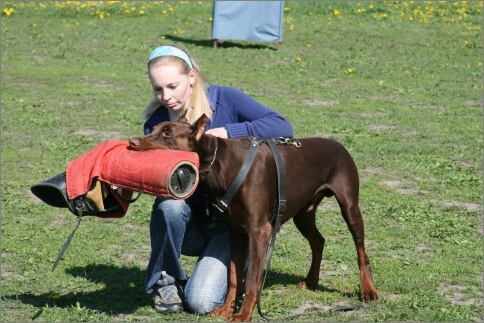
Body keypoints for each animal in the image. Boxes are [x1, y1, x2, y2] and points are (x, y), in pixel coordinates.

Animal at [127, 114, 378, 322]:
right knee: (318, 241)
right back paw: (311, 280)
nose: (132, 142)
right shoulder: (236, 232)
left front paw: (244, 313)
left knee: (361, 251)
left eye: (168, 133)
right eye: (154, 128)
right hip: (303, 212)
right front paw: (226, 309)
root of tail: (339, 145)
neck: (219, 163)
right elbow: (234, 276)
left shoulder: (259, 231)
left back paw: (368, 291)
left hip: (349, 206)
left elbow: (253, 279)